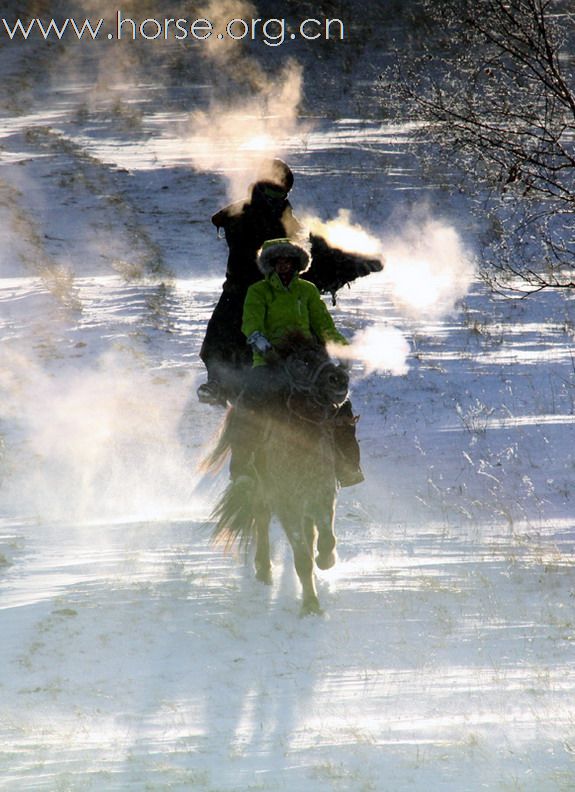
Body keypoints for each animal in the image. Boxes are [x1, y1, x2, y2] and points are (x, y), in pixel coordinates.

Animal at [202, 332, 352, 612]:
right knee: (261, 522)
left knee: (309, 532)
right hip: (260, 492)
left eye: (327, 353)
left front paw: (326, 561)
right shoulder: (287, 504)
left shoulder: (323, 495)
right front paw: (311, 607)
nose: (340, 379)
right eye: (303, 362)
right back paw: (263, 571)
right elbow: (302, 558)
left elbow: (326, 538)